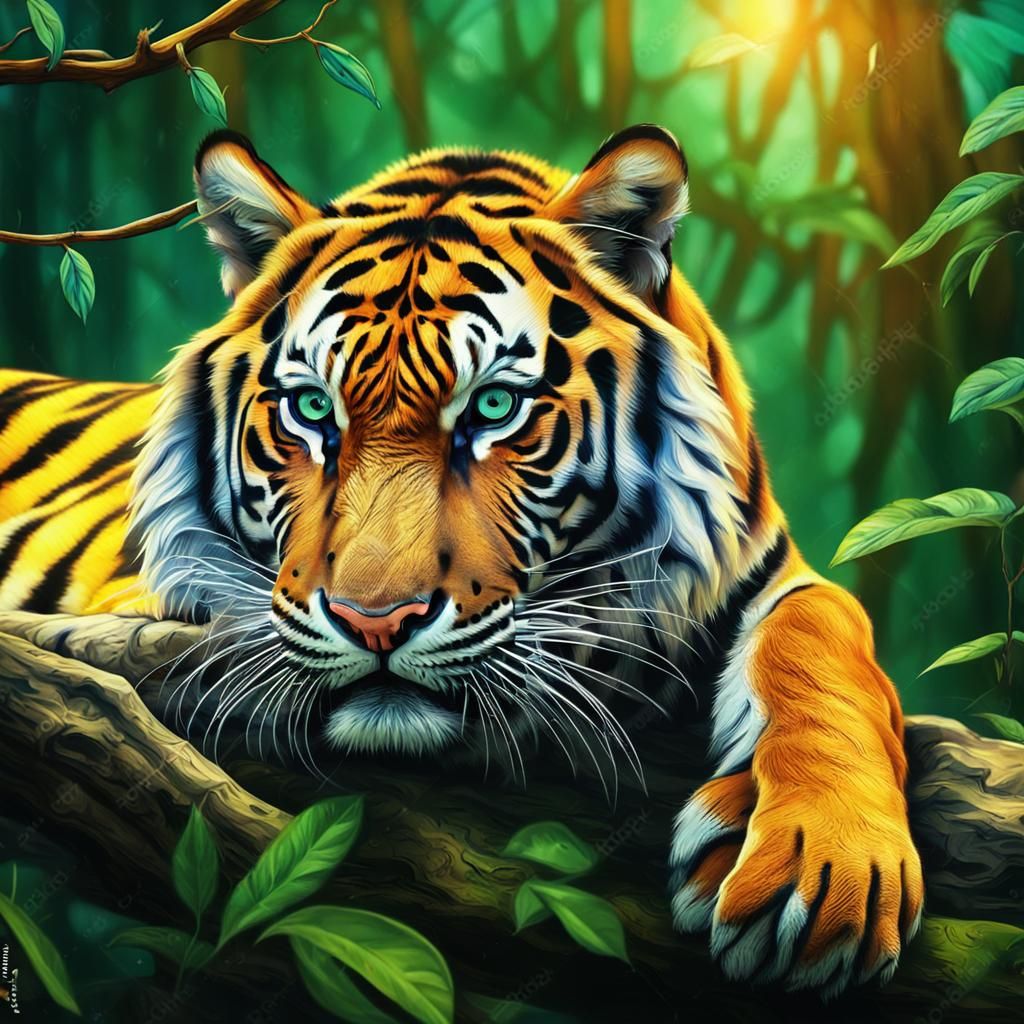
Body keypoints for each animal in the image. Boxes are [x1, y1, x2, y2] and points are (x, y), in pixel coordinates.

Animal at [0, 125, 922, 997]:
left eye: (494, 406)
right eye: (312, 410)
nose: (375, 623)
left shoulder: (775, 576)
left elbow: (826, 638)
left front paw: (822, 865)